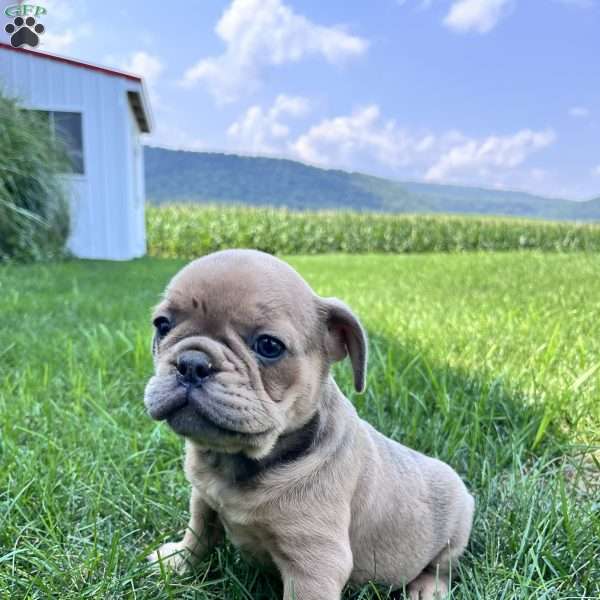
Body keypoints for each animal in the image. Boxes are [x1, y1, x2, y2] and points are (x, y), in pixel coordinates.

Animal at [145, 248, 474, 600]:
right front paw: (178, 561)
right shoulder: (203, 496)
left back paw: (427, 587)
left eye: (269, 346)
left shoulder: (314, 564)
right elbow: (199, 530)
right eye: (162, 325)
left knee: (443, 566)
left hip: (456, 529)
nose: (192, 364)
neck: (239, 463)